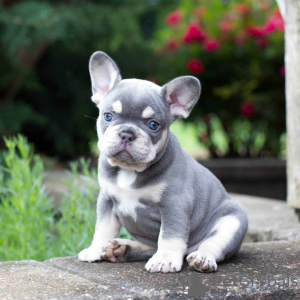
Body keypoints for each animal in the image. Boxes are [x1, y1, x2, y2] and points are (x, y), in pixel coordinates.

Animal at [78, 52, 248, 274]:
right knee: (150, 246)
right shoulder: (107, 200)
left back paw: (202, 258)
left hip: (232, 220)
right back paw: (122, 249)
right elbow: (103, 228)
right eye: (108, 116)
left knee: (212, 243)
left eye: (153, 125)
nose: (127, 133)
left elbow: (170, 234)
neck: (129, 170)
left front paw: (165, 259)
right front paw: (95, 249)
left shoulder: (174, 203)